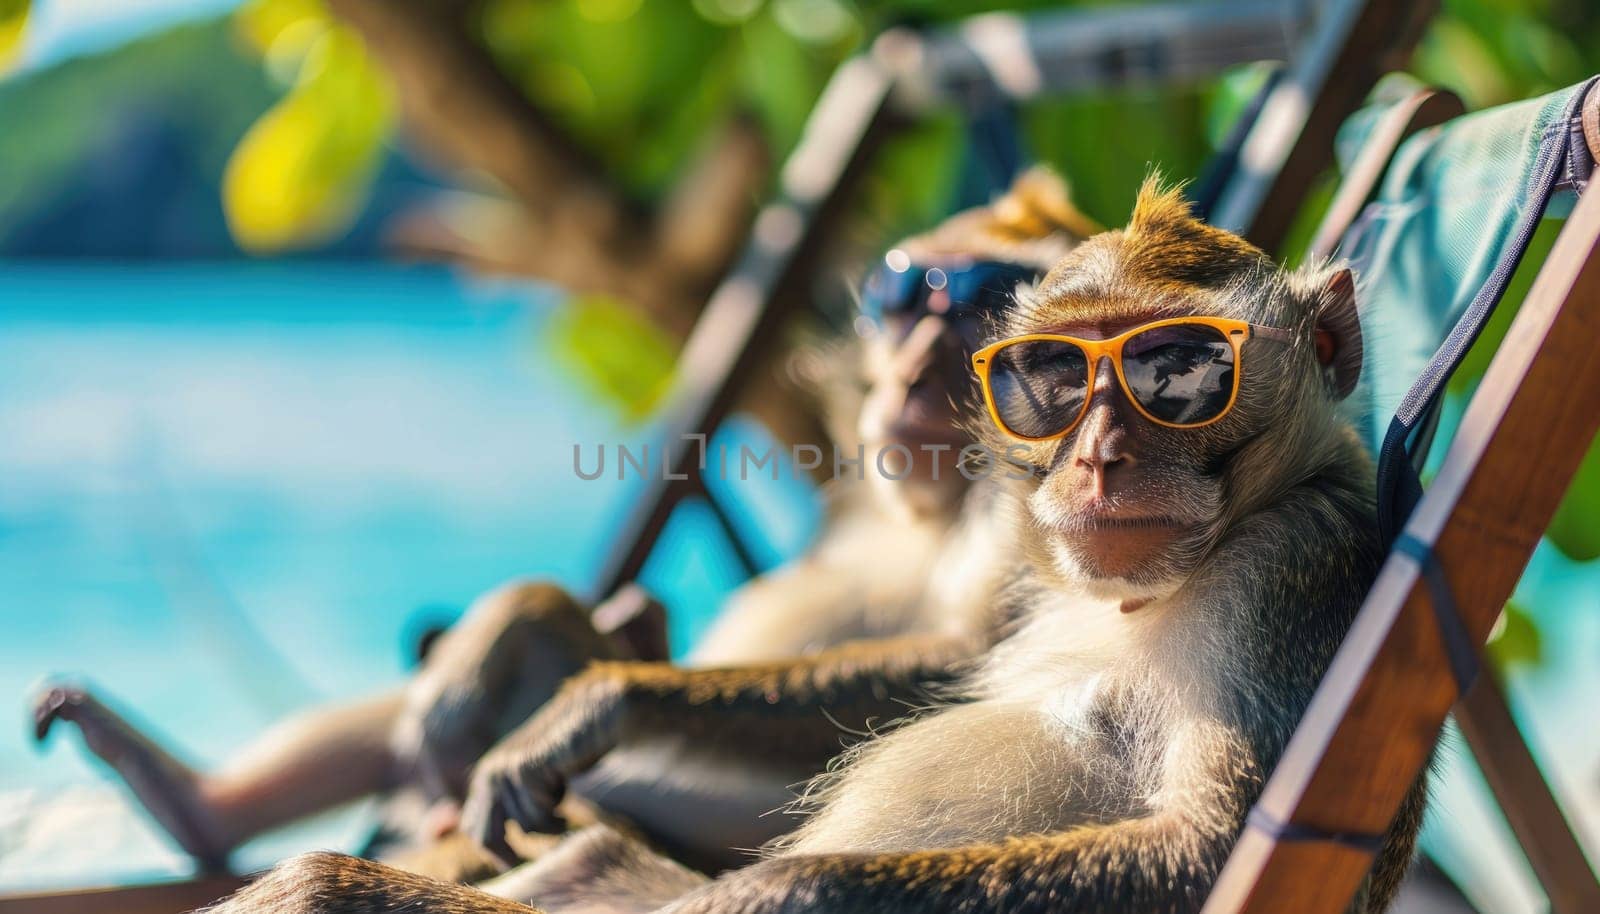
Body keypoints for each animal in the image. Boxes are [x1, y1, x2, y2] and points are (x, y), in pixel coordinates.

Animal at [28, 169, 1100, 877]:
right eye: (908, 300)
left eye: (976, 315)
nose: (910, 366)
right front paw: (518, 623)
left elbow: (971, 659)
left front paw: (606, 699)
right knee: (474, 697)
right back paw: (202, 803)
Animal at [196, 180, 1427, 914]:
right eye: (1052, 376)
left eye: (1179, 370)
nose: (1096, 455)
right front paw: (589, 688)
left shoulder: (1292, 573)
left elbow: (1209, 850)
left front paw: (758, 894)